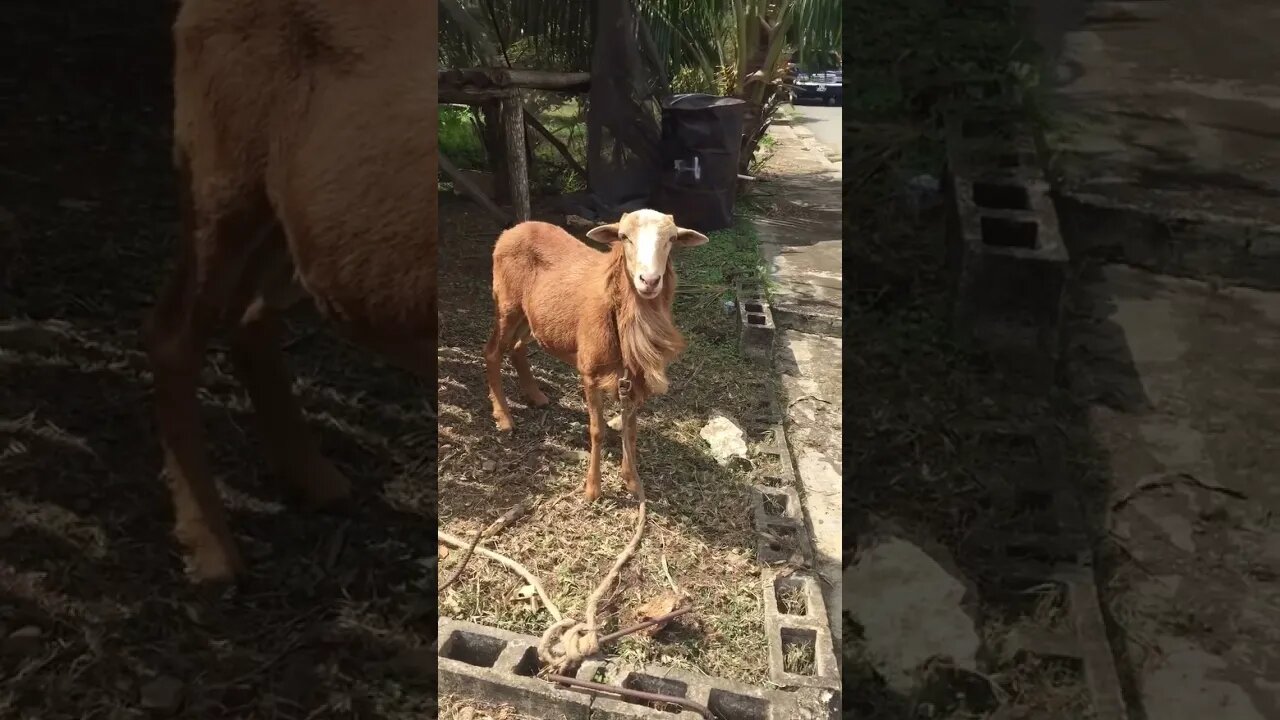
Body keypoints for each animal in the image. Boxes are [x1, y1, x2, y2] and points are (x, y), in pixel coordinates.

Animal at [144, 0, 437, 583]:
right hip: (221, 176)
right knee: (175, 334)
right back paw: (211, 550)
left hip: (291, 213)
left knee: (251, 315)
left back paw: (314, 480)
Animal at [484, 210, 709, 501]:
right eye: (624, 237)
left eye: (671, 239)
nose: (649, 281)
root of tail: (513, 230)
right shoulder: (589, 372)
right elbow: (597, 430)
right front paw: (593, 489)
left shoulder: (632, 379)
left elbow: (631, 430)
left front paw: (632, 481)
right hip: (507, 305)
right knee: (492, 352)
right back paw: (503, 417)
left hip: (531, 315)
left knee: (518, 347)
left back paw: (535, 396)